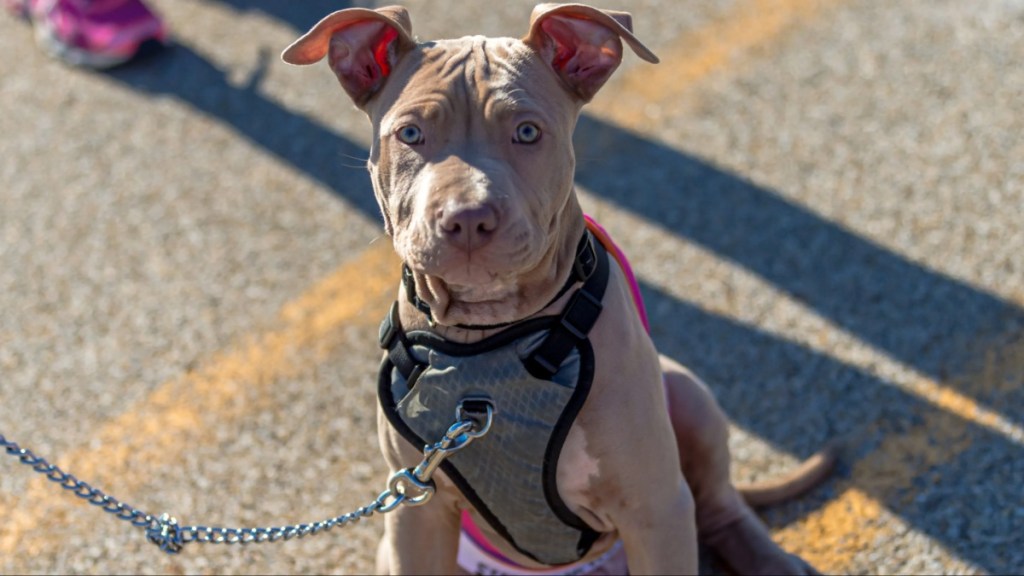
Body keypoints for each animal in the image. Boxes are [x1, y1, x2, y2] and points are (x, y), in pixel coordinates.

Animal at [280, 5, 831, 573]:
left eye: (527, 131)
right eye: (409, 133)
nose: (467, 219)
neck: (486, 330)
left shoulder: (655, 508)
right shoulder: (416, 517)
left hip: (686, 392)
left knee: (721, 506)